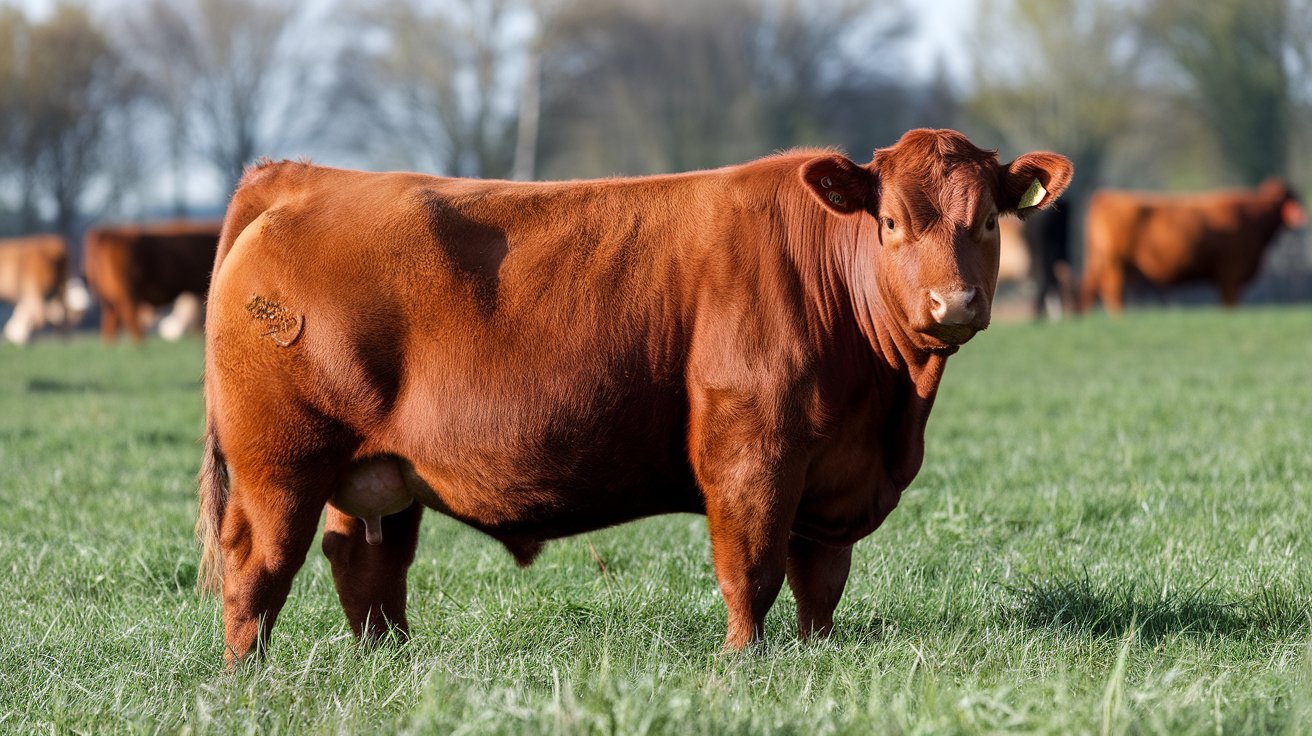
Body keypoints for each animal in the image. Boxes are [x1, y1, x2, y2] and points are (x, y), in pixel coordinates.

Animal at [196, 128, 1072, 666]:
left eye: (987, 221)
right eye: (889, 221)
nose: (953, 304)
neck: (886, 408)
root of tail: (303, 178)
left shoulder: (831, 479)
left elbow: (819, 582)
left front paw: (815, 653)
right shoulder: (751, 456)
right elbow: (751, 567)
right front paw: (742, 661)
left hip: (373, 470)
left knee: (366, 565)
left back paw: (390, 661)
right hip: (280, 465)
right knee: (256, 567)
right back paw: (249, 678)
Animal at [1079, 179, 1306, 312]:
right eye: (1292, 200)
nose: (1302, 216)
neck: (1253, 218)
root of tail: (1106, 195)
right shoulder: (1231, 273)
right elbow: (1229, 305)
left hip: (1104, 261)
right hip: (1115, 264)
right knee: (1112, 292)